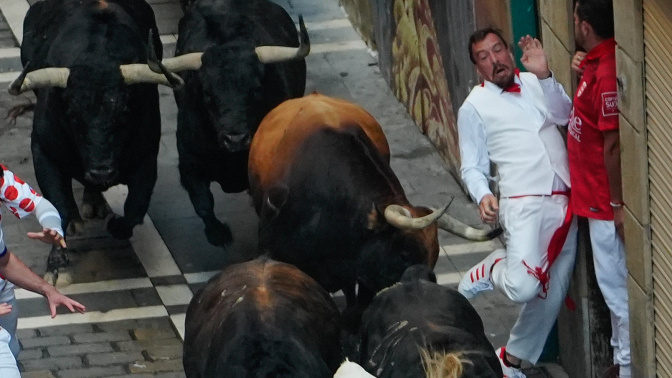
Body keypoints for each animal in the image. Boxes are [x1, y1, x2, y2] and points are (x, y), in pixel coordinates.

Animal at [11, 0, 178, 276]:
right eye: (73, 116)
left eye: (124, 115)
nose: (101, 172)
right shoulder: (43, 151)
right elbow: (59, 206)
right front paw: (57, 261)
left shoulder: (146, 156)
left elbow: (135, 208)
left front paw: (116, 225)